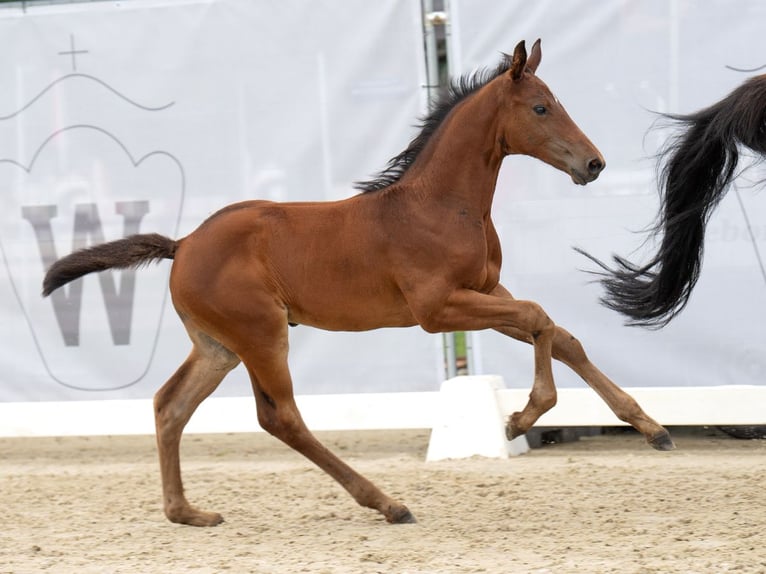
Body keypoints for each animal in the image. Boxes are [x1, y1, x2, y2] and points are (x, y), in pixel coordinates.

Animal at [45, 38, 676, 528]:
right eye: (542, 108)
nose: (593, 164)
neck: (439, 205)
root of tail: (183, 244)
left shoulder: (485, 292)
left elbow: (561, 335)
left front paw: (652, 428)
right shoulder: (438, 310)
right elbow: (539, 317)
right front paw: (520, 417)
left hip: (218, 345)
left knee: (170, 406)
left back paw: (186, 513)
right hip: (262, 334)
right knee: (280, 417)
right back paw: (388, 503)